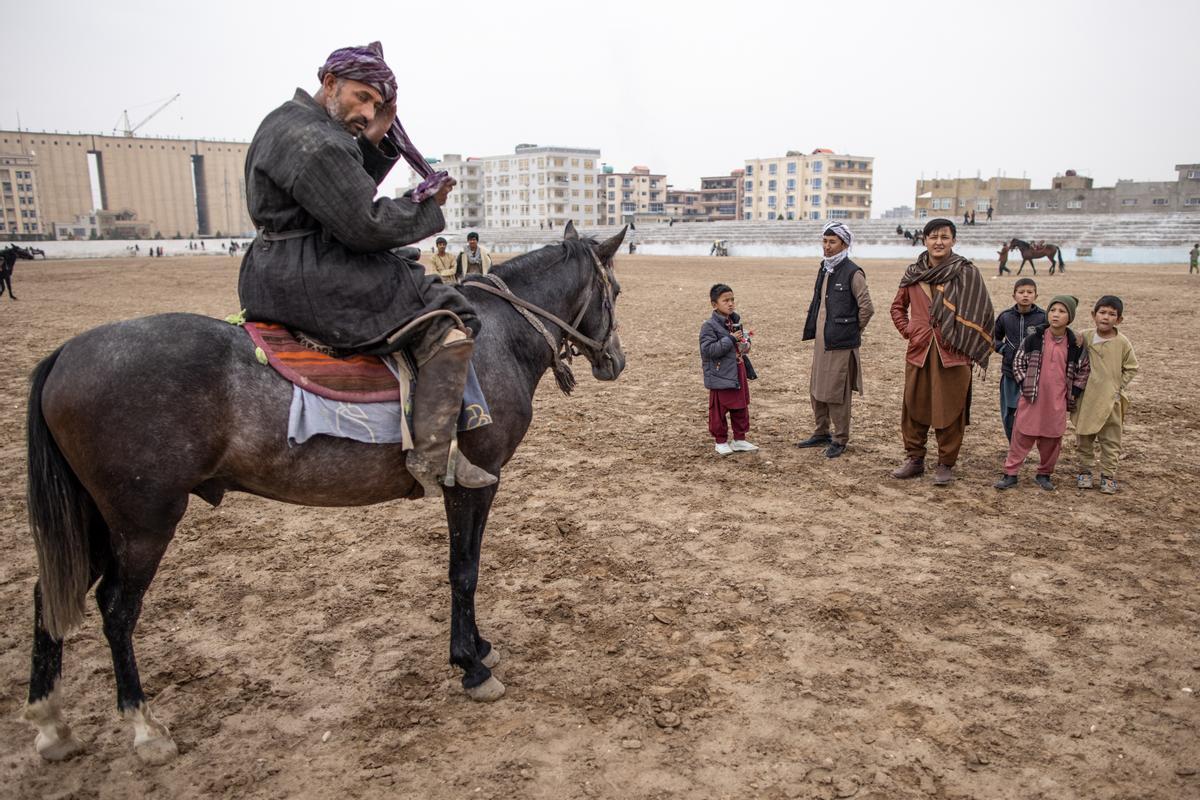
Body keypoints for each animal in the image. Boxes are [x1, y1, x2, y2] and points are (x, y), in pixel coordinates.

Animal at [23, 221, 628, 762]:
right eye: (616, 292)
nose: (616, 361)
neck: (499, 338)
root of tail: (65, 354)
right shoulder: (475, 482)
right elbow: (465, 570)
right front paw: (471, 665)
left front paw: (478, 648)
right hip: (144, 523)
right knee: (116, 610)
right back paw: (144, 728)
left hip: (99, 521)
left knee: (48, 596)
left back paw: (52, 727)